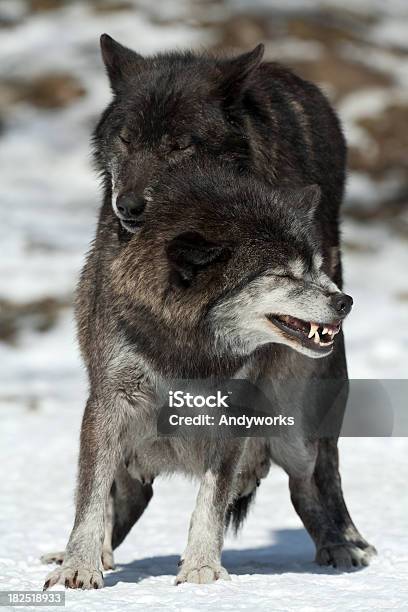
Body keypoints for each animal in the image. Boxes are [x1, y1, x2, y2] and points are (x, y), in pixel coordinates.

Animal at [42, 37, 376, 588]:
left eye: (182, 145)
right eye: (125, 140)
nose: (344, 302)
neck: (189, 340)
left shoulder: (236, 412)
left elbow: (211, 500)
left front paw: (200, 571)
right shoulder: (109, 401)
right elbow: (89, 499)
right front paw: (79, 567)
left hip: (295, 427)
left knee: (315, 477)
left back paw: (343, 546)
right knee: (124, 494)